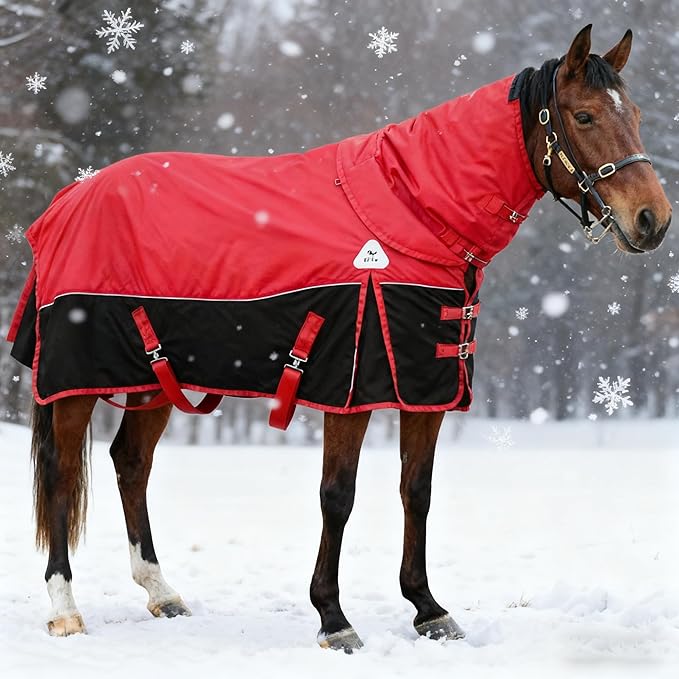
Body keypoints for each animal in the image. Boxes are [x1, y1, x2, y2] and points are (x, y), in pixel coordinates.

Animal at [8, 25, 671, 651]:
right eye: (583, 116)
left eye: (636, 113)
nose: (653, 220)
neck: (413, 209)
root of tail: (69, 197)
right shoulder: (349, 390)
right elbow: (338, 496)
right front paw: (333, 618)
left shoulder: (424, 389)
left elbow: (417, 491)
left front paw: (428, 609)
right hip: (75, 384)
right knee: (63, 472)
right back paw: (65, 609)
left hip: (155, 377)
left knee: (131, 462)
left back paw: (161, 591)